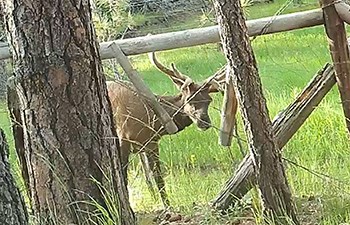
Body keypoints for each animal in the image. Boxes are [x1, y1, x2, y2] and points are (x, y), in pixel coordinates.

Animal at [106, 52, 226, 207]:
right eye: (189, 99)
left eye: (209, 100)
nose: (204, 122)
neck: (151, 118)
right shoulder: (123, 139)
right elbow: (123, 178)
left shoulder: (151, 144)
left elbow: (158, 178)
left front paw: (167, 205)